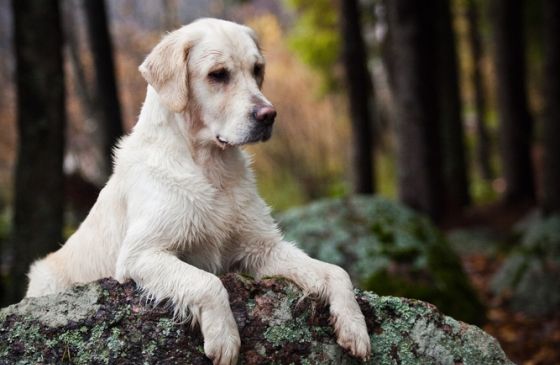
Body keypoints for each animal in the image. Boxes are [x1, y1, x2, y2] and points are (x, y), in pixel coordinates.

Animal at [26, 17, 372, 364]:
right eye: (218, 74)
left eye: (257, 69)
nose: (268, 116)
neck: (211, 167)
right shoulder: (141, 253)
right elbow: (208, 282)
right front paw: (224, 338)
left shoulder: (262, 248)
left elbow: (336, 271)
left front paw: (355, 327)